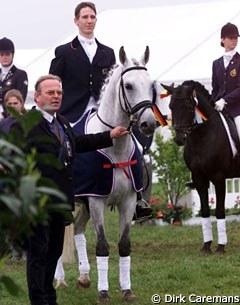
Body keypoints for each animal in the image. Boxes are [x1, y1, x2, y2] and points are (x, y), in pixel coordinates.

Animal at [162, 79, 240, 253]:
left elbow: (219, 211)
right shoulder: (199, 179)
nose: (179, 139)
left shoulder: (218, 177)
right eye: (170, 106)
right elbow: (205, 210)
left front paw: (221, 247)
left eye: (190, 107)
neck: (202, 137)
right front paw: (206, 246)